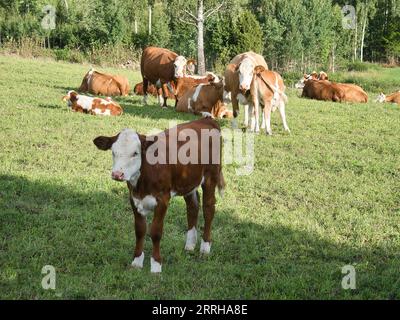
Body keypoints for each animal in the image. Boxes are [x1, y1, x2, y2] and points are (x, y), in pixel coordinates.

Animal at [92, 117, 227, 272]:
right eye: (113, 152)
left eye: (135, 153)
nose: (117, 174)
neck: (142, 183)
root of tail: (206, 119)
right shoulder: (133, 198)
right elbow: (139, 230)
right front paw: (137, 261)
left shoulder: (163, 199)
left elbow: (156, 232)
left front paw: (156, 265)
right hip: (188, 180)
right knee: (193, 207)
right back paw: (190, 245)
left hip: (211, 176)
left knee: (208, 209)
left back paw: (205, 247)